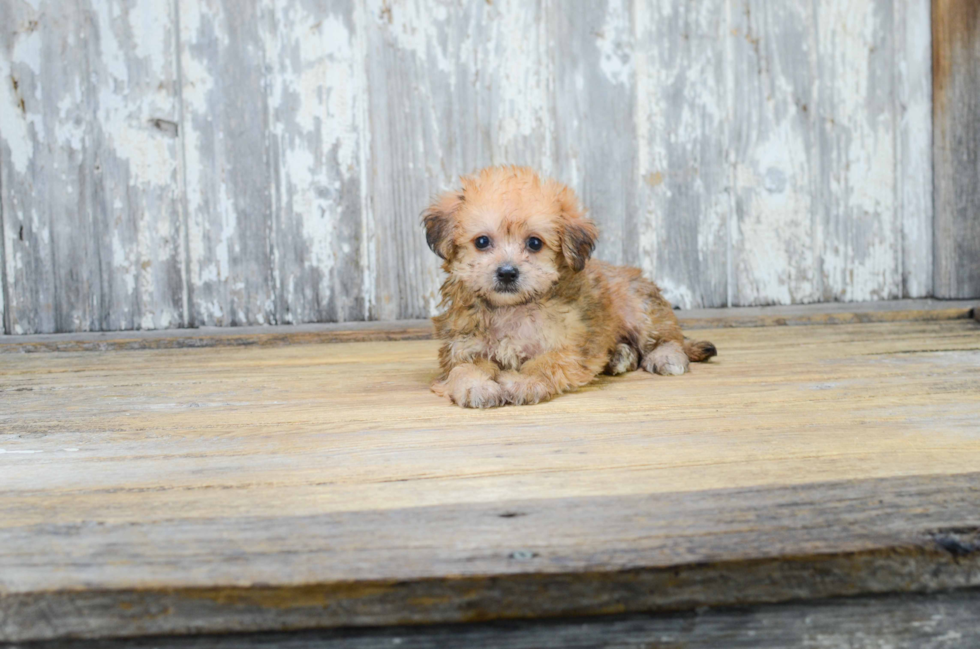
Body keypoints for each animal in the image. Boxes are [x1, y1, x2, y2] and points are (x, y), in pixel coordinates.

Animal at [420, 165, 712, 408]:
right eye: (482, 241)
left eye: (534, 243)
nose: (507, 273)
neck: (512, 309)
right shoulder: (462, 348)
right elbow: (464, 369)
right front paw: (476, 387)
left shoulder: (569, 346)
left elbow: (546, 362)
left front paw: (523, 382)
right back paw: (620, 356)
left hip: (641, 309)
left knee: (667, 337)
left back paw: (665, 356)